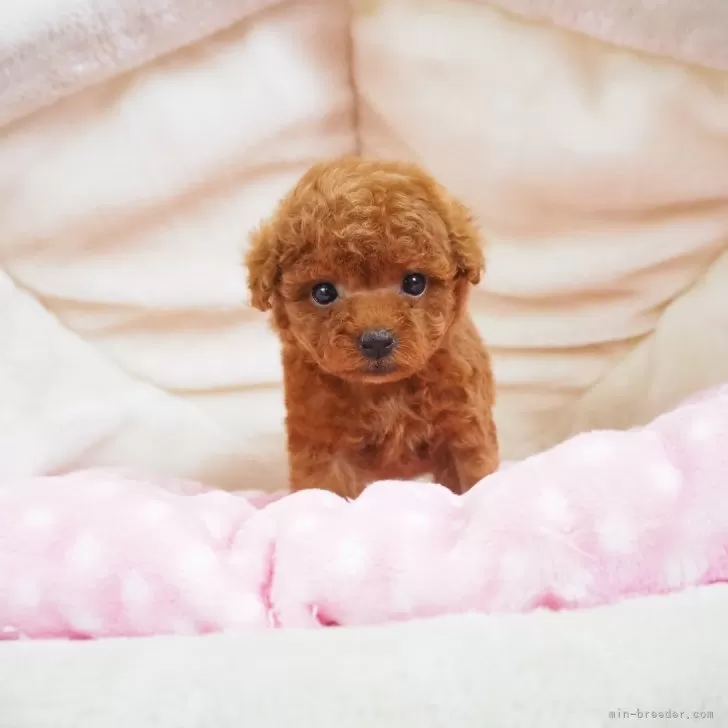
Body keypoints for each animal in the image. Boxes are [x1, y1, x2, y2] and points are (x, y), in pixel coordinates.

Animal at [245, 157, 499, 497]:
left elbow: (473, 479)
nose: (377, 340)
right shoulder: (322, 441)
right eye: (323, 292)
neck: (385, 391)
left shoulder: (464, 426)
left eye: (414, 282)